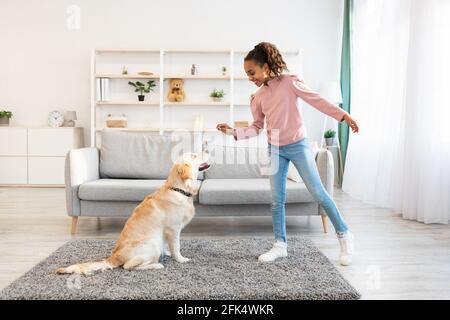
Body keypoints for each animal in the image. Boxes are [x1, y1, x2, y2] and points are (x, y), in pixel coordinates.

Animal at [56, 152, 211, 276]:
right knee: (128, 266)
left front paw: (167, 251)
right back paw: (156, 265)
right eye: (194, 155)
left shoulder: (166, 231)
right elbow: (176, 246)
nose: (207, 150)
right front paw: (180, 259)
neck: (178, 189)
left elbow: (168, 244)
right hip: (151, 243)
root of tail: (113, 257)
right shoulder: (174, 229)